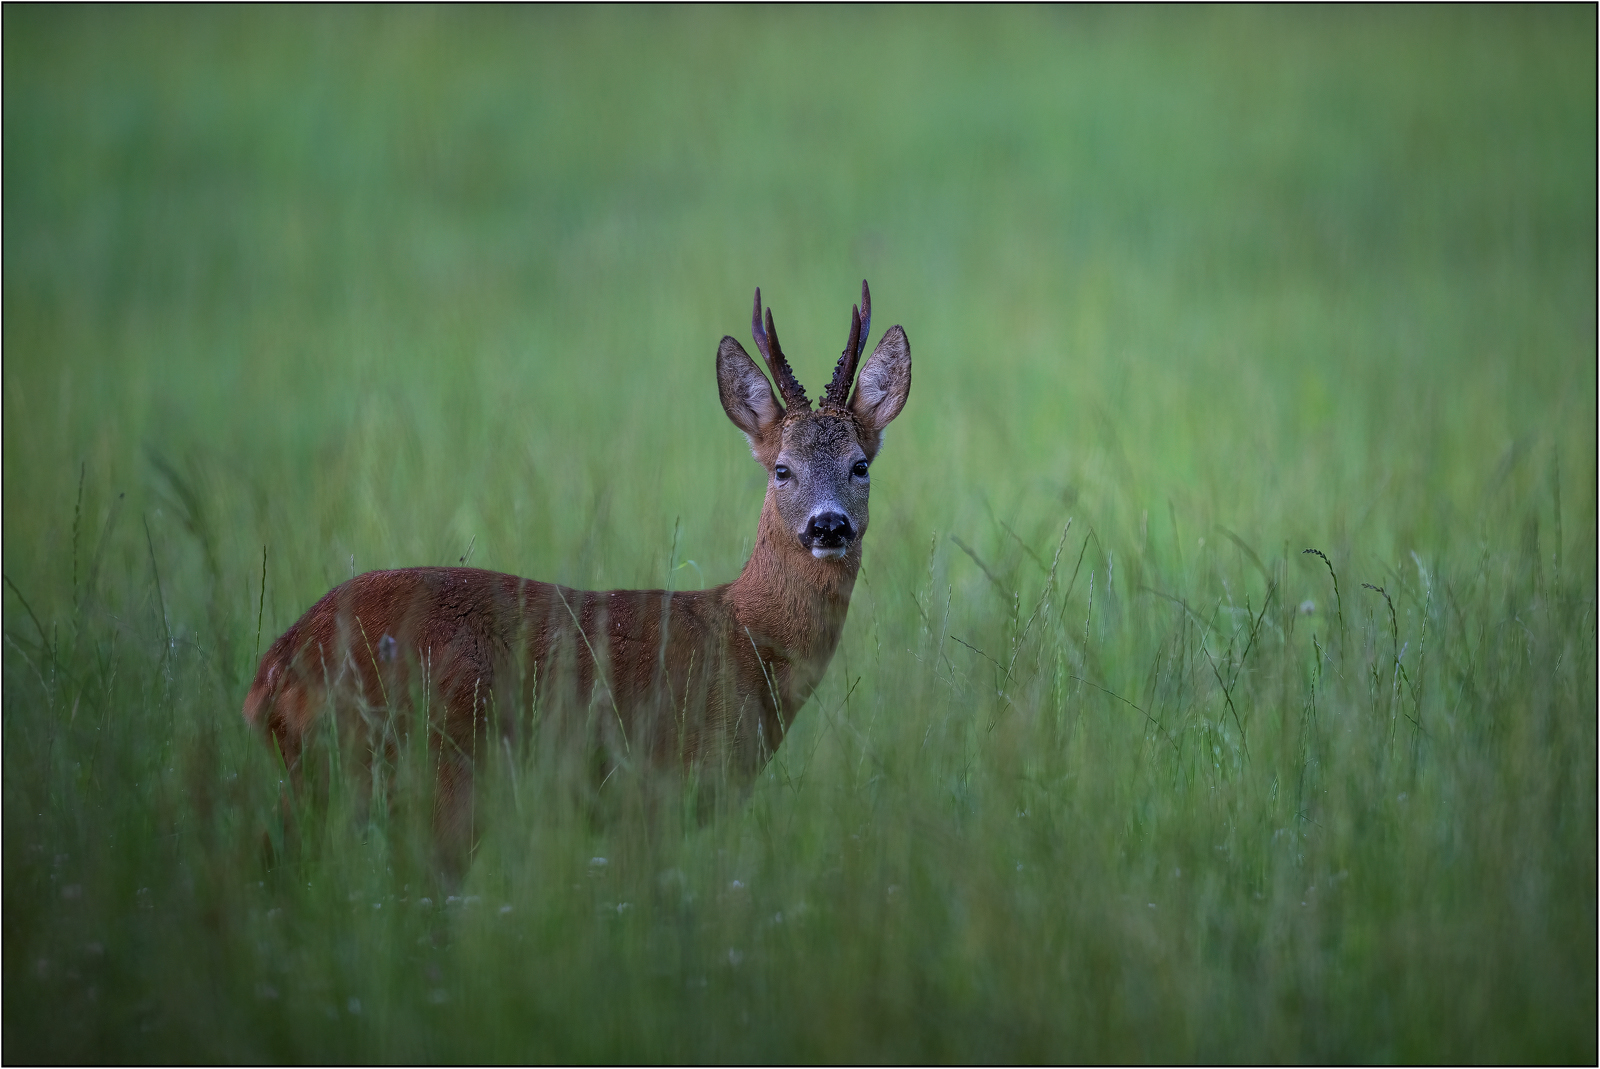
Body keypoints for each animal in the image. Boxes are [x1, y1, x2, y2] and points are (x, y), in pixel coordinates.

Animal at [241, 280, 908, 857]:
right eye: (782, 469)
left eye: (860, 465)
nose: (828, 526)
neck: (745, 636)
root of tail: (274, 671)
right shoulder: (654, 793)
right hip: (437, 771)